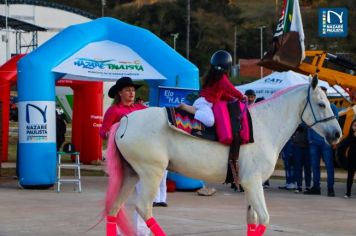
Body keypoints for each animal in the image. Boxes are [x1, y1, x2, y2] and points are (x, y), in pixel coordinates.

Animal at [103, 76, 342, 235]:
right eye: (322, 104)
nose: (337, 134)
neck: (264, 125)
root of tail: (124, 121)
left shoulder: (248, 185)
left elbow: (252, 220)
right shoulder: (253, 182)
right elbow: (264, 219)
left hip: (132, 175)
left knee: (113, 209)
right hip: (151, 174)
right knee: (144, 209)